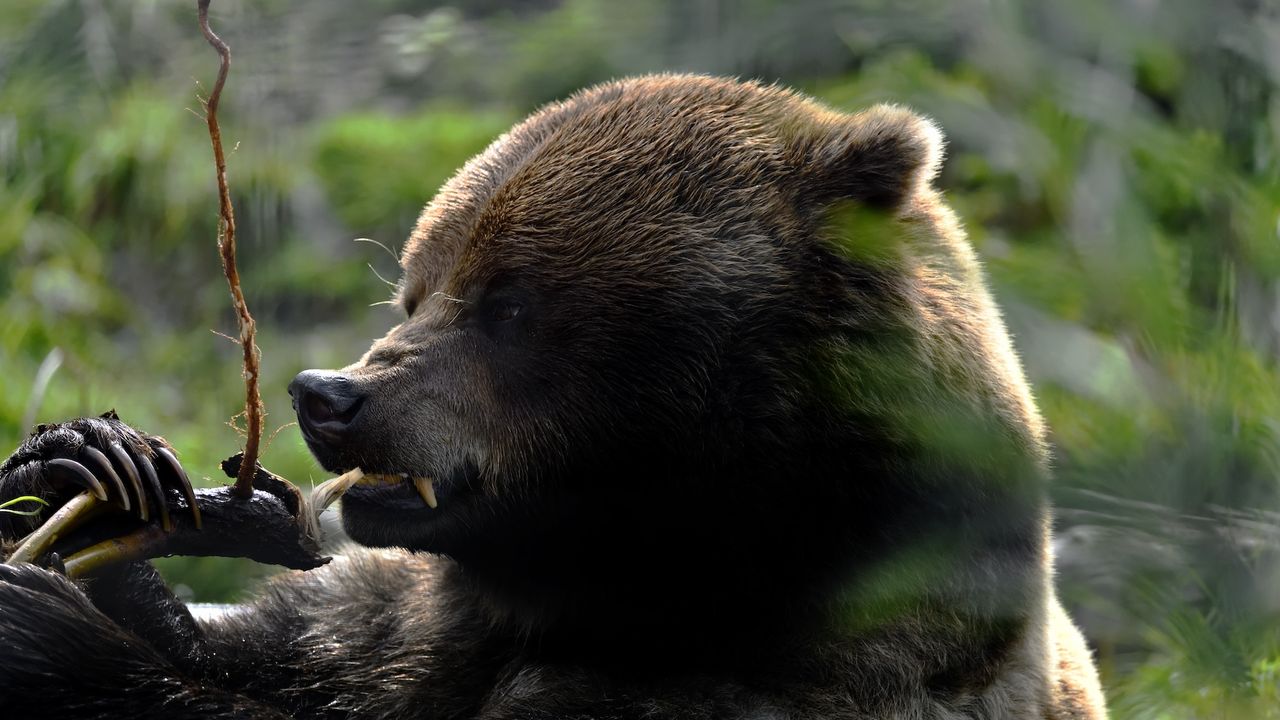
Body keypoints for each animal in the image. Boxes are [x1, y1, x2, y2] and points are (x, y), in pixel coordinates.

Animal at [0, 74, 1106, 719]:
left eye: (511, 306)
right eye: (413, 288)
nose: (328, 395)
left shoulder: (776, 684)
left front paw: (50, 630)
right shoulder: (399, 629)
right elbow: (278, 638)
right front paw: (90, 469)